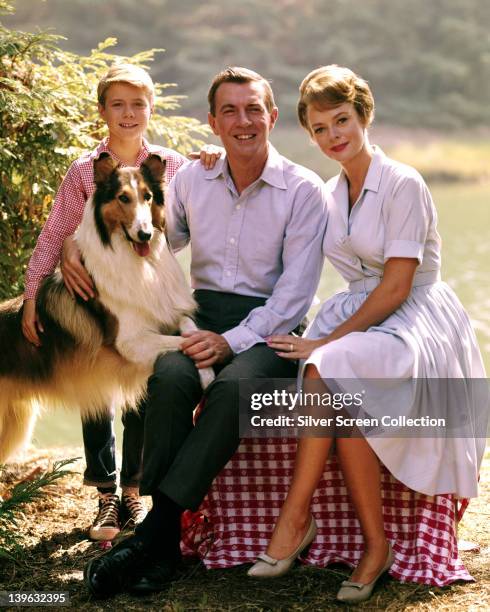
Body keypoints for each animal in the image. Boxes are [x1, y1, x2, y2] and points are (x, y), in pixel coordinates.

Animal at [0, 154, 214, 464]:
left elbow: (190, 330)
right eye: (123, 198)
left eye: (148, 197)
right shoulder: (131, 343)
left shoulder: (168, 314)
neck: (138, 262)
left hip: (14, 425)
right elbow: (183, 343)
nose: (145, 235)